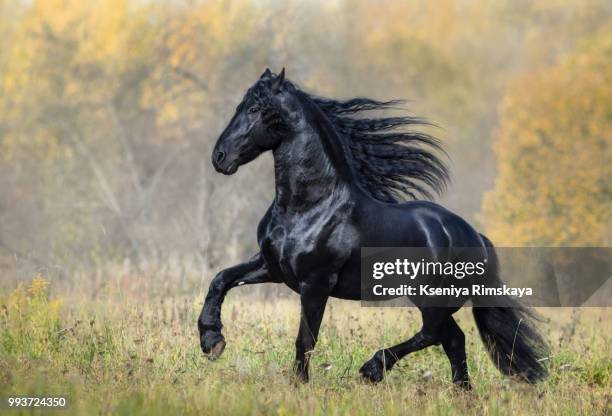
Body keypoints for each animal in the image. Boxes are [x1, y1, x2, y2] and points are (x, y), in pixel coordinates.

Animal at [197, 66, 548, 388]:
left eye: (255, 109)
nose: (219, 157)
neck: (308, 206)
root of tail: (476, 237)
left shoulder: (316, 283)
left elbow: (306, 339)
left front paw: (299, 386)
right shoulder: (273, 267)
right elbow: (221, 280)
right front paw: (212, 341)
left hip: (431, 297)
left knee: (434, 333)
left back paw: (372, 369)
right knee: (452, 339)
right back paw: (462, 393)